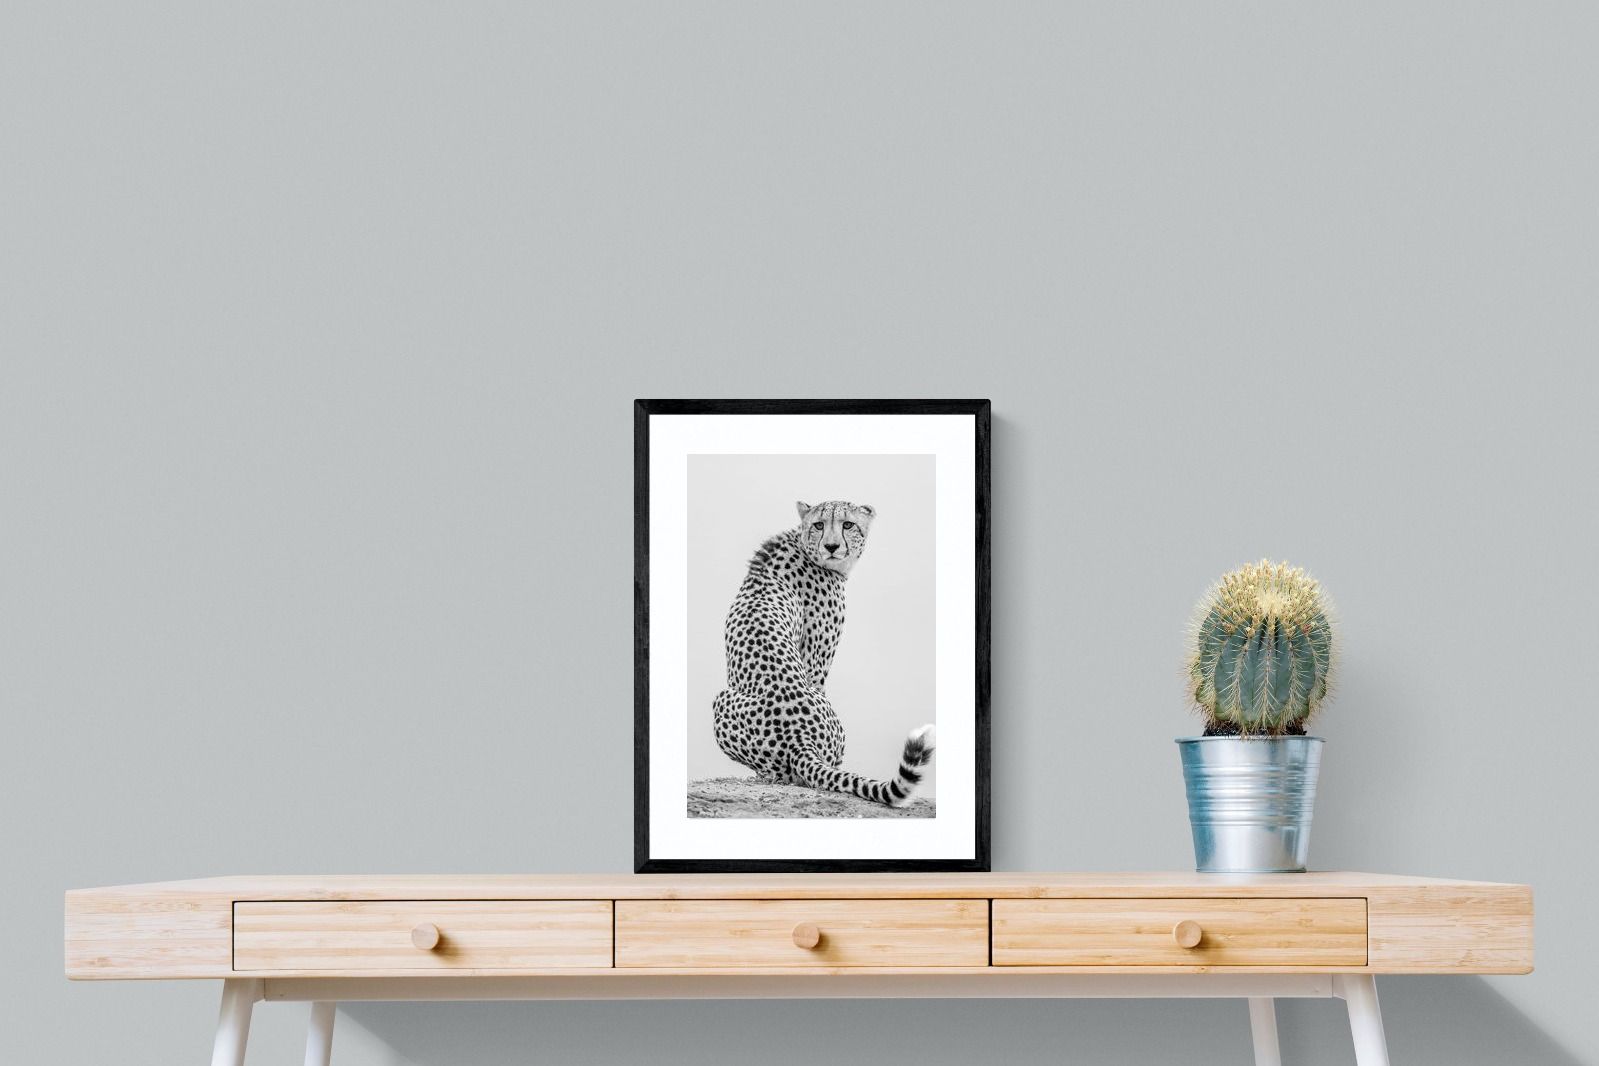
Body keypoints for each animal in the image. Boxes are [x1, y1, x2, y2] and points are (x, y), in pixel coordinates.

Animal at [711, 499, 935, 808]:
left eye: (847, 524)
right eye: (819, 524)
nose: (831, 546)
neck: (804, 545)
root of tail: (799, 738)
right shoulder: (816, 663)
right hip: (724, 700)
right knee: (794, 774)